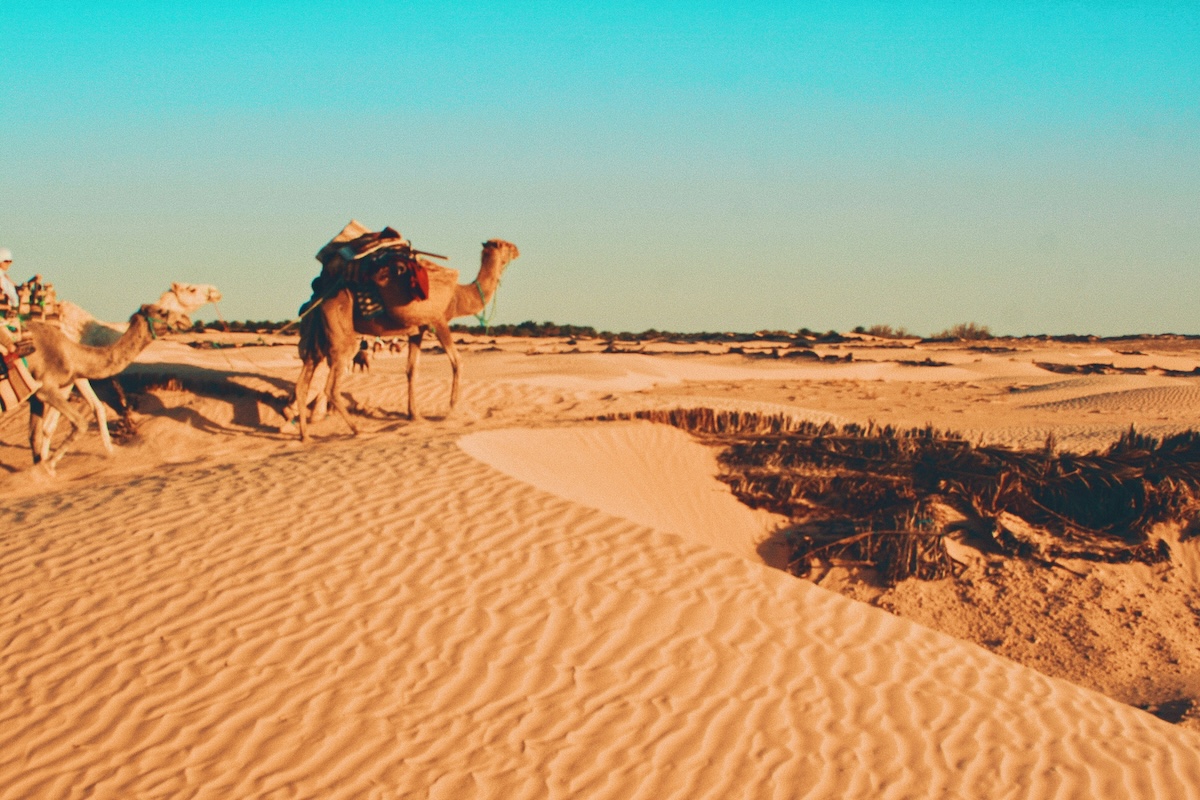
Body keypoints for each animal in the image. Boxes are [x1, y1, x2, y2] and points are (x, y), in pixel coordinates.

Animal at [25, 304, 190, 470]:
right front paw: (46, 466)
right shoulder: (49, 385)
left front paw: (111, 455)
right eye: (161, 312)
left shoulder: (74, 377)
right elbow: (52, 426)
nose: (185, 319)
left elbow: (96, 408)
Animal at [292, 237, 518, 443]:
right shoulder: (438, 320)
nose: (517, 250)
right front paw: (452, 411)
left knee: (303, 382)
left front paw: (414, 415)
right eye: (505, 245)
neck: (458, 297)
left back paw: (305, 436)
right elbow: (457, 362)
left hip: (316, 334)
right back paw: (358, 430)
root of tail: (320, 297)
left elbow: (411, 369)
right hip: (341, 332)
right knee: (332, 385)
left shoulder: (418, 330)